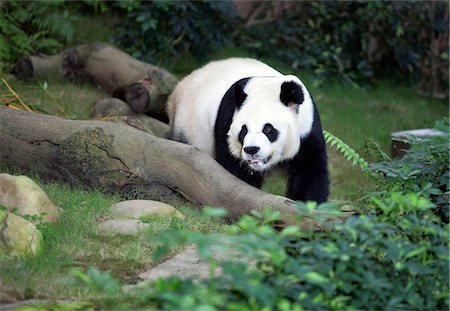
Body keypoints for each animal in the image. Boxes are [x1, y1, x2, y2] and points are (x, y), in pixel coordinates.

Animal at [167, 58, 328, 204]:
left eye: (268, 128)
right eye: (243, 130)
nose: (251, 149)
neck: (269, 89)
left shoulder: (307, 129)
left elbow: (309, 170)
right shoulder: (228, 119)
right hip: (186, 124)